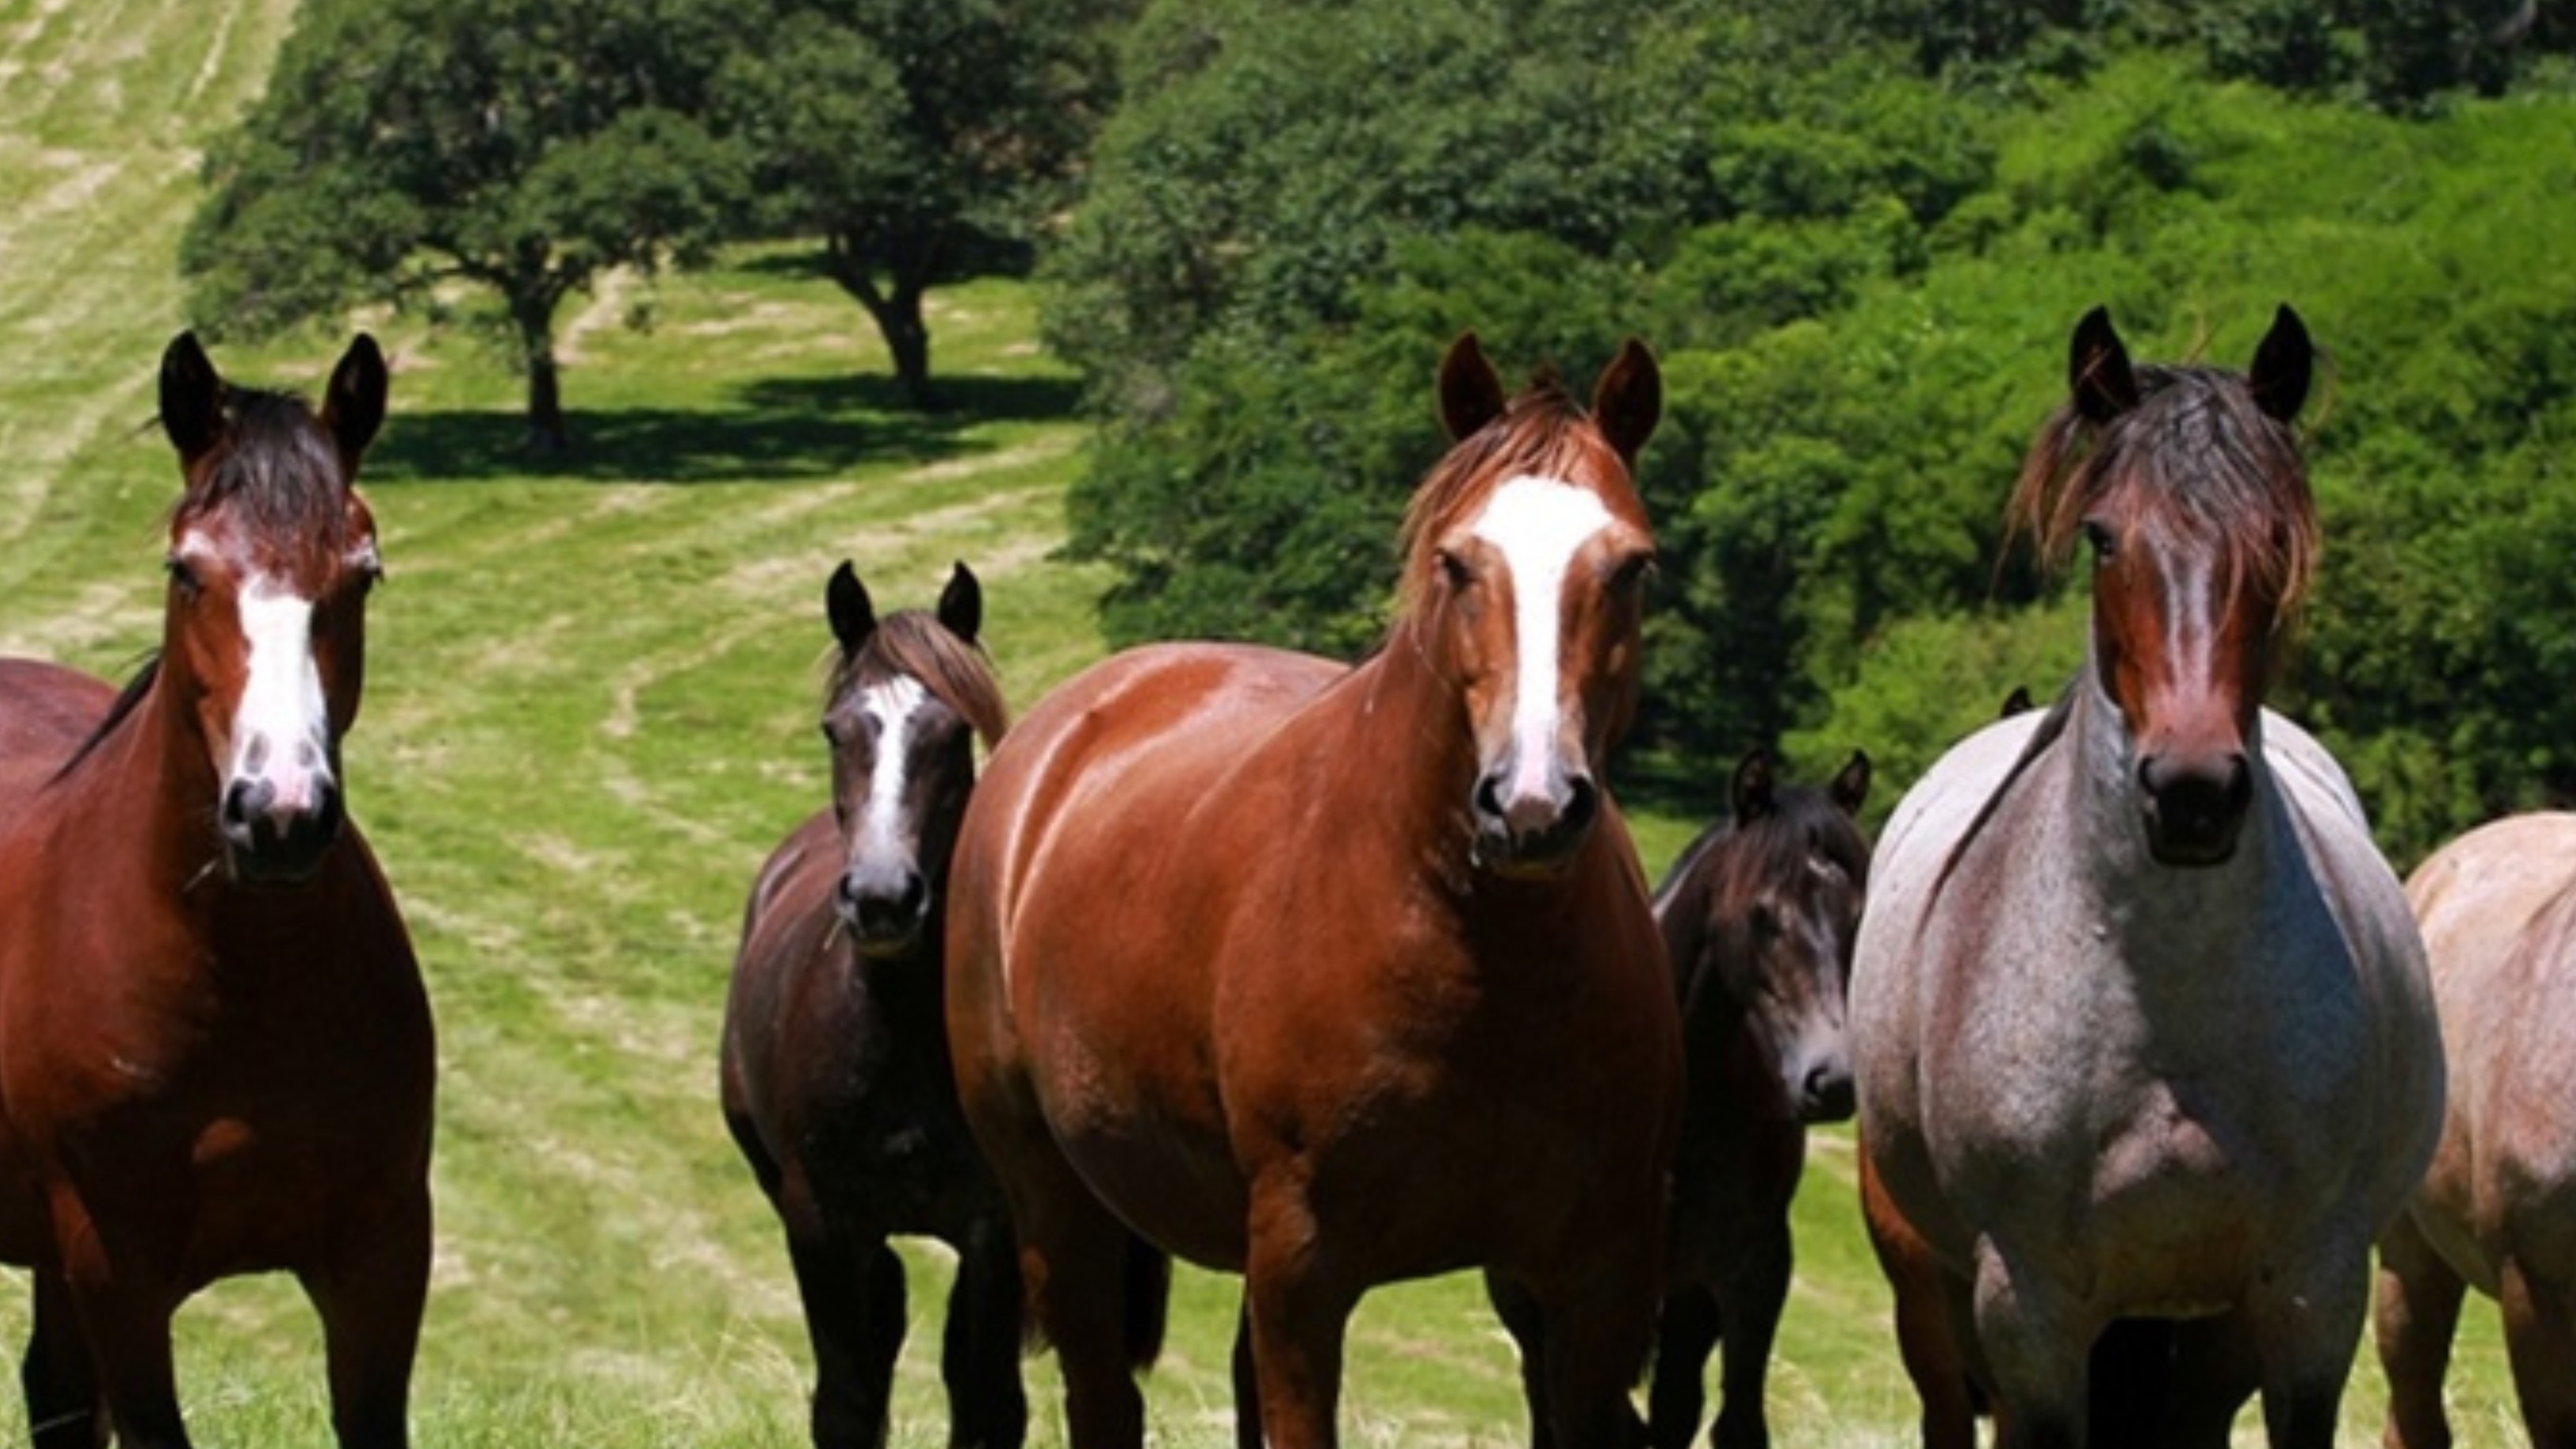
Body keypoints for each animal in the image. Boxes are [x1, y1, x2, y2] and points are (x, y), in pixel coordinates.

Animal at [0, 333, 434, 1447]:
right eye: (186, 570)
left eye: (363, 573)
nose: (278, 815)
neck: (243, 983)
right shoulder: (117, 1272)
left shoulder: (380, 1257)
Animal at [720, 560, 1022, 1449]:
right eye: (835, 729)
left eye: (952, 733)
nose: (884, 898)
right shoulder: (818, 1222)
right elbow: (848, 1402)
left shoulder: (998, 1231)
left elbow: (987, 1402)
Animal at [944, 333, 1678, 1449]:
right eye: (1456, 563)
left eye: (1630, 566)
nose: (1532, 806)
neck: (1477, 955)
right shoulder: (1303, 1265)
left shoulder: (1594, 1278)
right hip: (1056, 1205)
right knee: (1101, 1397)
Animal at [1847, 304, 2443, 1449]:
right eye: (2102, 535)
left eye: (2278, 539)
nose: (2194, 792)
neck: (2166, 992)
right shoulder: (2030, 1309)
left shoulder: (2310, 1295)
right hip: (1936, 1302)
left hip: (2206, 1335)